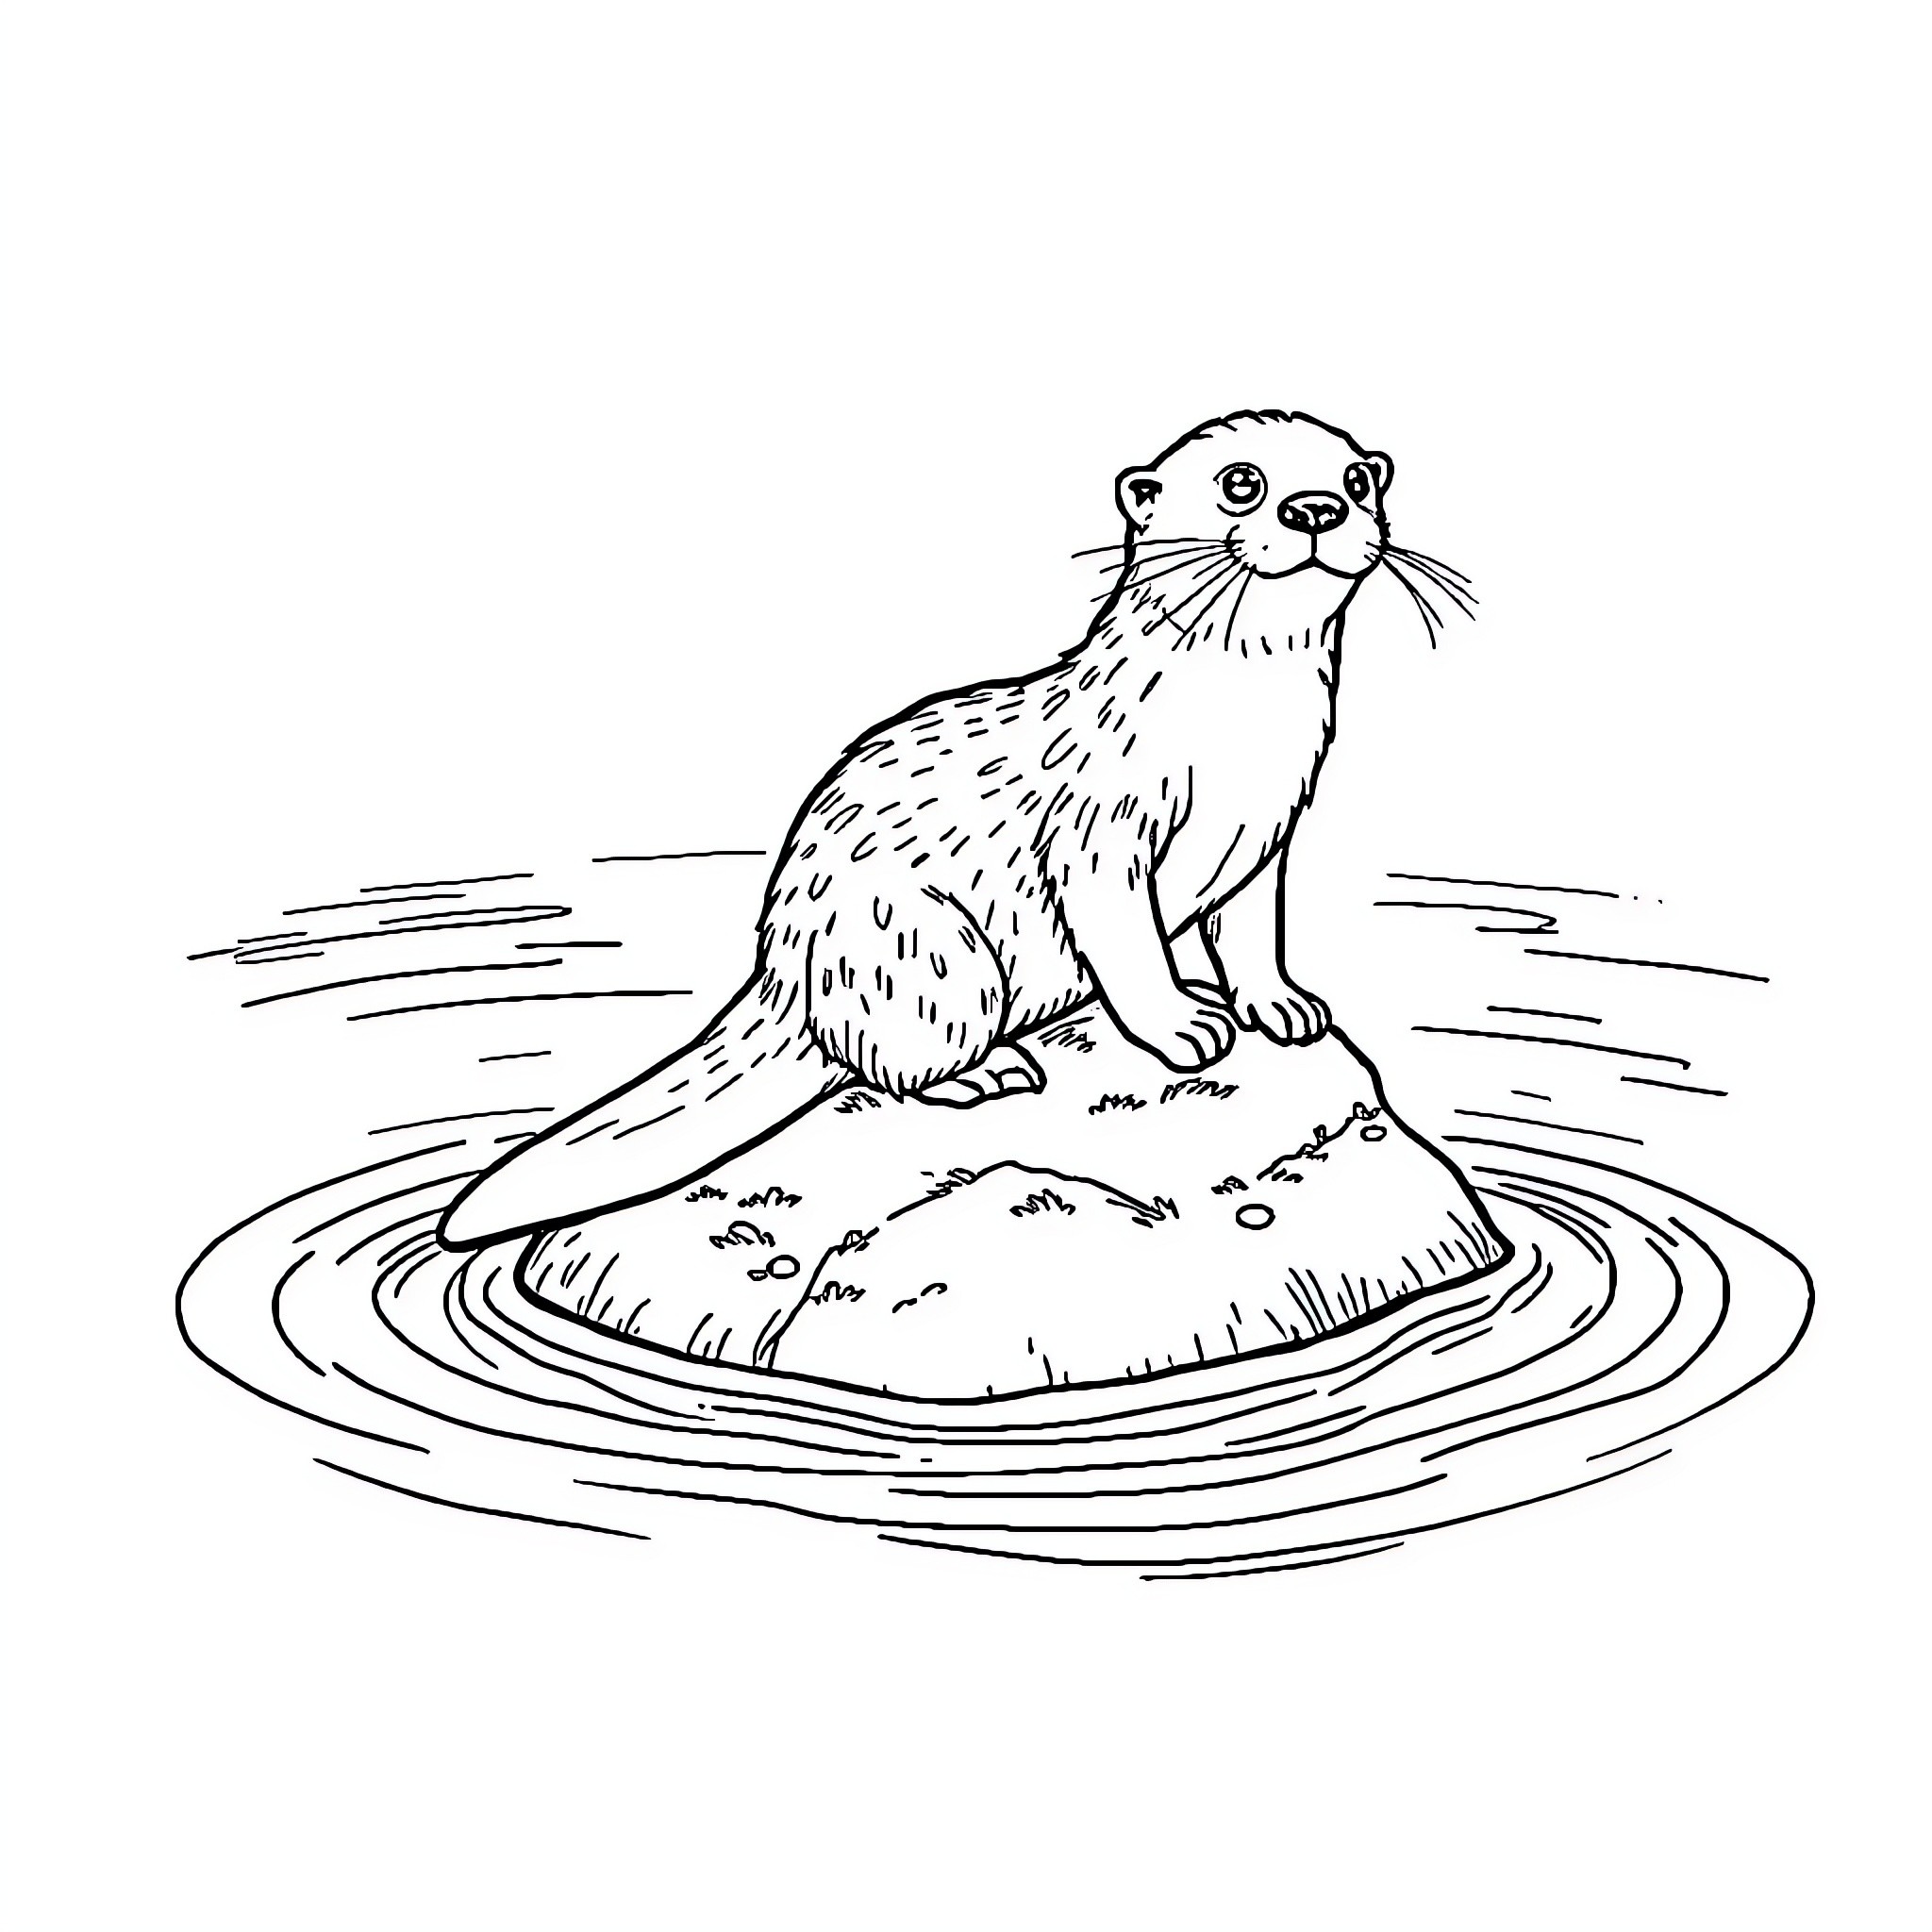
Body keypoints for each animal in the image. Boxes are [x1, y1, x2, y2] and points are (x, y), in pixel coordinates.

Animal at [441, 409, 1469, 1248]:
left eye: (1356, 479)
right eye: (1240, 481)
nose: (1313, 509)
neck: (1231, 734)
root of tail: (783, 970)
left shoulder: (1268, 830)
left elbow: (1254, 931)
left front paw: (1280, 1006)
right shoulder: (1101, 829)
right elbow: (1128, 945)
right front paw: (1183, 1023)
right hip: (930, 953)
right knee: (889, 1056)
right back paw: (984, 1072)